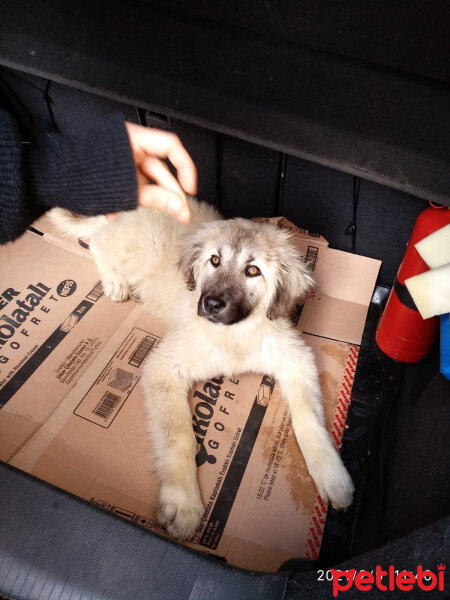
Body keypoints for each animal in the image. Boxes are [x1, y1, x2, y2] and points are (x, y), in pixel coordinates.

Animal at [51, 200, 354, 540]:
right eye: (214, 260)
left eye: (253, 270)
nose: (210, 304)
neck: (236, 334)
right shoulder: (163, 367)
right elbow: (179, 436)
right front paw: (182, 503)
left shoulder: (295, 358)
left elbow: (308, 419)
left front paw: (331, 474)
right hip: (137, 250)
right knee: (96, 242)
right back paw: (114, 282)